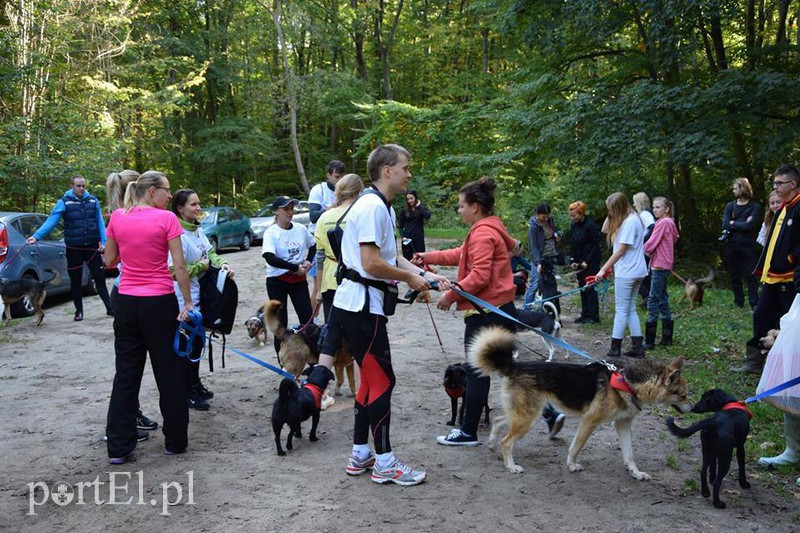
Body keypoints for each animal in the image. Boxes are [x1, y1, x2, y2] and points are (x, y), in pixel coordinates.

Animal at [468, 324, 692, 478]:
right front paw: (571, 465)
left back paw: (492, 444)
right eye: (683, 395)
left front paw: (636, 473)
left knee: (497, 420)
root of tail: (515, 366)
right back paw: (510, 466)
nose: (692, 408)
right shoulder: (590, 421)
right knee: (507, 441)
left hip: (525, 415)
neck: (627, 381)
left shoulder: (622, 423)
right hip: (528, 418)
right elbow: (576, 446)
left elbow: (629, 454)